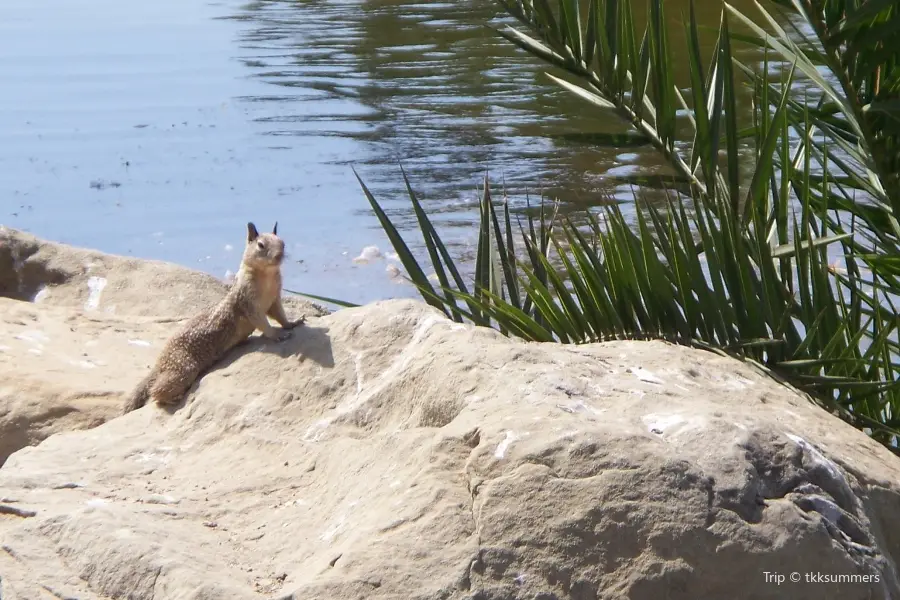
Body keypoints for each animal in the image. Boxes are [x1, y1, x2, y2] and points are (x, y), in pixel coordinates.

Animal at [121, 223, 304, 414]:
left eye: (282, 243)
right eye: (260, 245)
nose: (279, 256)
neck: (266, 275)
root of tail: (159, 363)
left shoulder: (274, 299)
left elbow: (280, 314)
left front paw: (293, 322)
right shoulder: (249, 303)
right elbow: (262, 322)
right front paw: (277, 334)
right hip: (184, 368)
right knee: (157, 391)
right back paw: (172, 399)